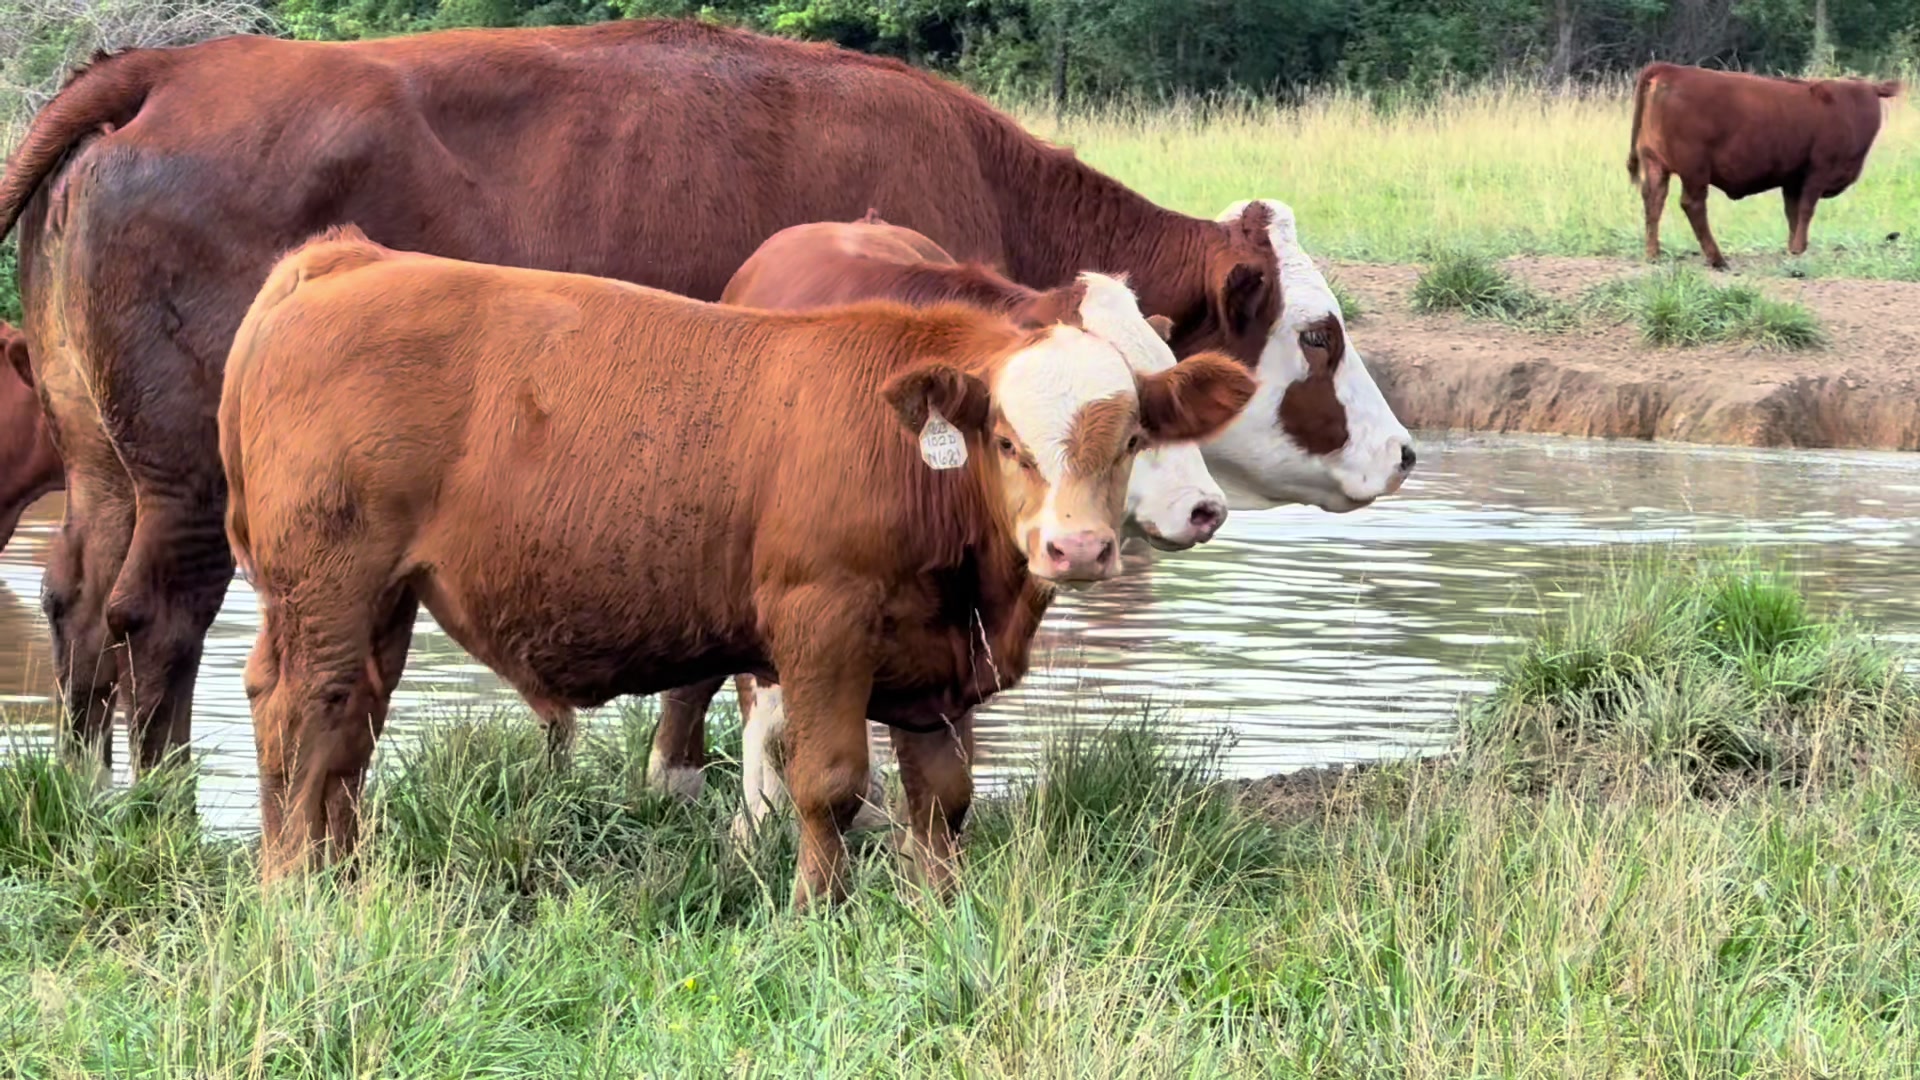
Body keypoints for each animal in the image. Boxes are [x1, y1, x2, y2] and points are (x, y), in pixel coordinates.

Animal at [221, 227, 1256, 905]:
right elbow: (829, 781)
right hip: (326, 585)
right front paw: (819, 910)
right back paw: (292, 887)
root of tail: (349, 257)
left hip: (381, 597)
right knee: (302, 714)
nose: (1075, 547)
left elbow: (942, 796)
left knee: (349, 723)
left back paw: (341, 873)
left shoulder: (941, 662)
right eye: (1005, 440)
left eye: (1131, 434)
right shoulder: (822, 626)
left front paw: (937, 905)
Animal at [1628, 62, 1900, 269]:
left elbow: (1792, 213)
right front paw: (1799, 248)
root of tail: (1671, 69)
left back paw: (1653, 254)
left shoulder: (1793, 179)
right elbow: (1805, 210)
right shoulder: (1817, 171)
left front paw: (1792, 247)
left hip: (1655, 164)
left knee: (1654, 202)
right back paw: (1717, 259)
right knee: (1692, 205)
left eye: (1871, 104)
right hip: (1695, 169)